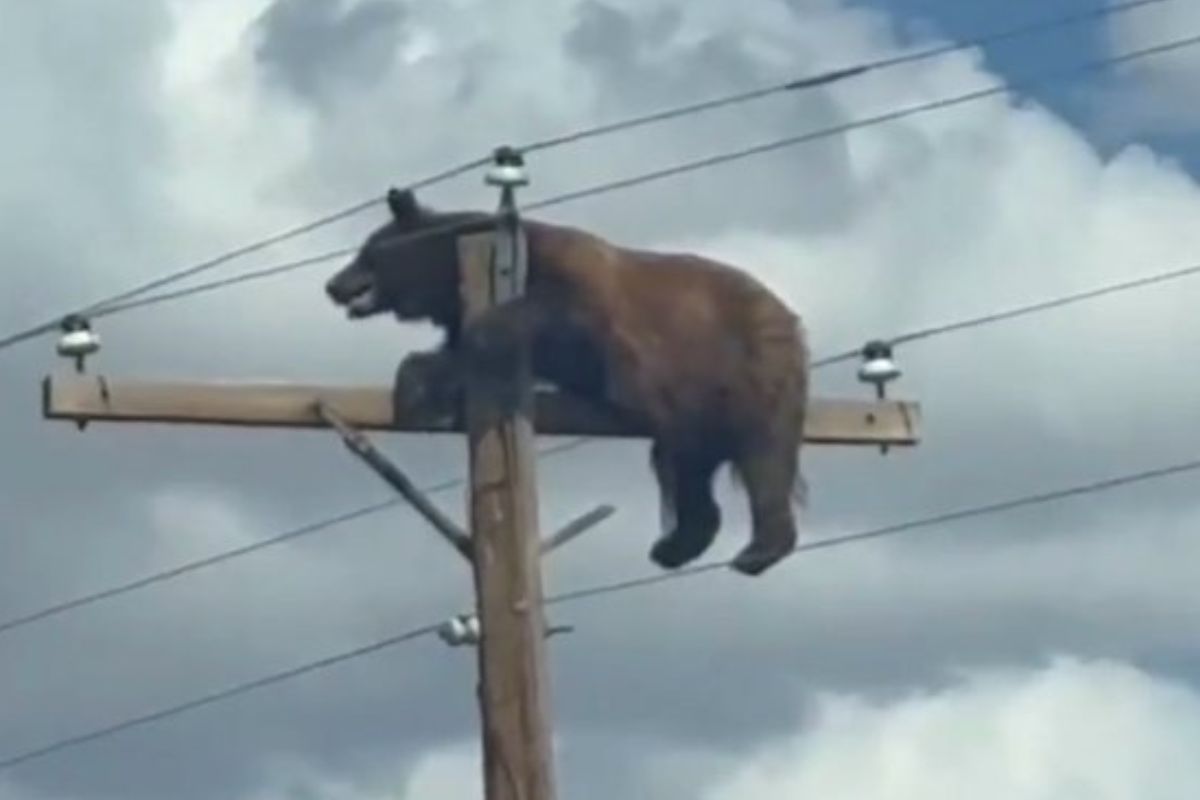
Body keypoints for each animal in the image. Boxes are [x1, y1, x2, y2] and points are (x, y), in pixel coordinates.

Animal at [324, 187, 810, 576]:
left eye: (366, 250)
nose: (332, 284)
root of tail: (787, 314)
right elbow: (456, 357)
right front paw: (418, 389)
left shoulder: (576, 286)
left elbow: (549, 316)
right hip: (691, 406)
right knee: (685, 465)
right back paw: (675, 545)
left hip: (749, 366)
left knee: (765, 453)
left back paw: (759, 549)